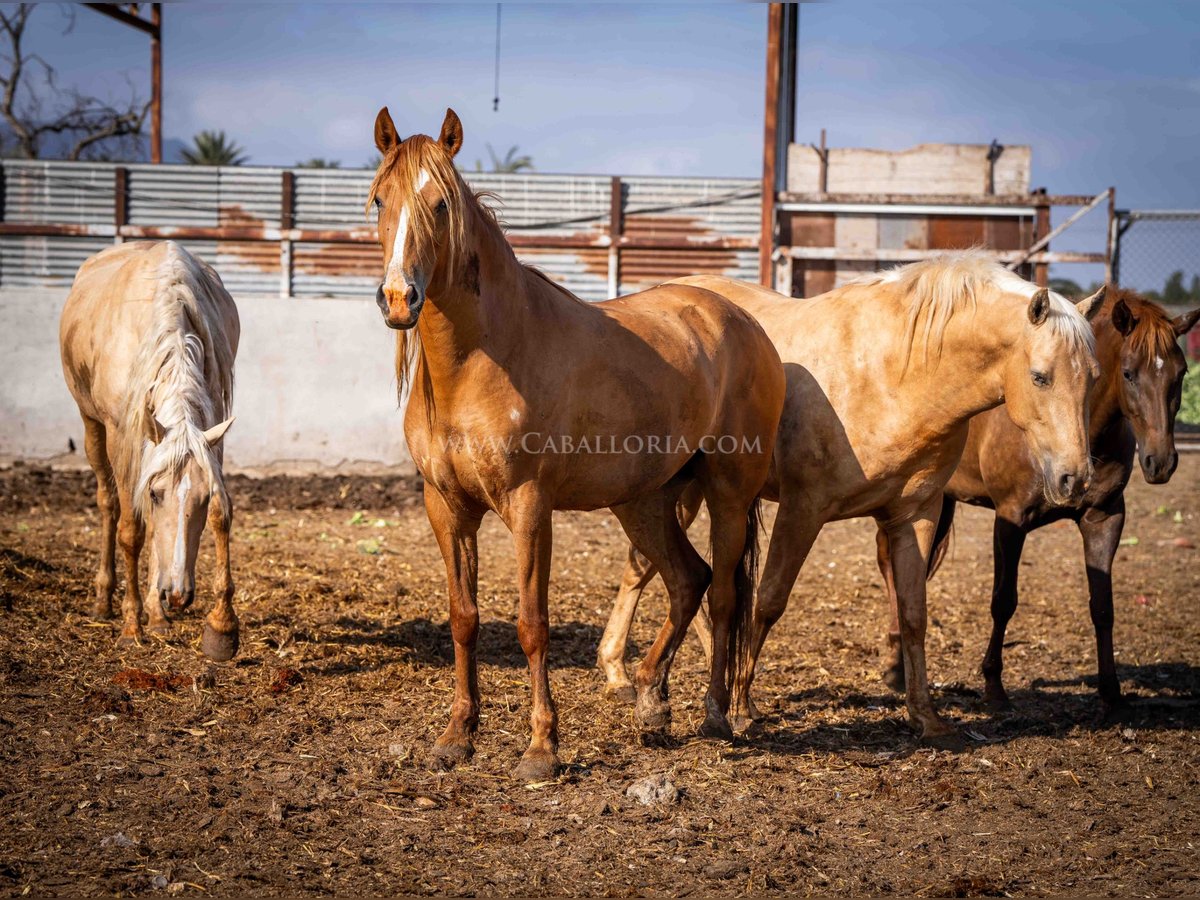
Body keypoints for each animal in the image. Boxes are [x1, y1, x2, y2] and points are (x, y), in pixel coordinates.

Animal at [58, 240, 241, 662]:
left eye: (202, 498)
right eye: (157, 494)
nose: (179, 594)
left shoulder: (211, 431)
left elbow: (220, 515)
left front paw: (221, 628)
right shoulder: (120, 436)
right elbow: (131, 530)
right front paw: (131, 627)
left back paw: (158, 615)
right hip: (91, 427)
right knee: (108, 503)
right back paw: (105, 600)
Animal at [372, 107, 787, 782]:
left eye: (440, 204)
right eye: (380, 199)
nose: (399, 299)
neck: (484, 360)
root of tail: (743, 323)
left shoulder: (529, 508)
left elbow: (531, 624)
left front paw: (542, 748)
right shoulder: (447, 507)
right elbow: (464, 619)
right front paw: (457, 736)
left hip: (727, 494)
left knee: (724, 594)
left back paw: (715, 713)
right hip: (642, 500)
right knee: (686, 580)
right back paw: (650, 701)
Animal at [600, 255, 1104, 748]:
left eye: (1094, 379)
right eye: (1040, 377)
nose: (1075, 477)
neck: (896, 376)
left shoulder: (914, 517)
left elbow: (914, 614)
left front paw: (926, 717)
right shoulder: (803, 511)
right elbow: (769, 601)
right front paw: (741, 706)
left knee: (660, 571)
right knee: (654, 570)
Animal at [873, 289, 1200, 710]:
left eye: (1181, 374)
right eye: (1129, 373)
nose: (1160, 462)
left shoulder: (1105, 518)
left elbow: (1103, 606)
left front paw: (1111, 693)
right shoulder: (1011, 519)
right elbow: (1003, 601)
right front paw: (994, 688)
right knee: (890, 568)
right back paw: (895, 668)